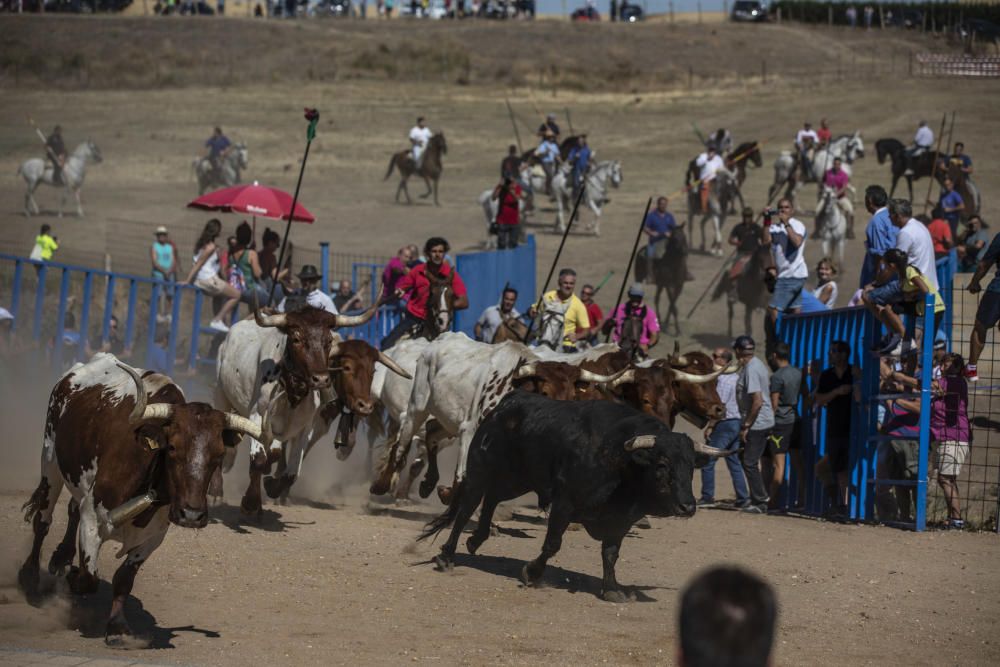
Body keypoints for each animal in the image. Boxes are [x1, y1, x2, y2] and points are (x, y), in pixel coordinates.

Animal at [19, 354, 266, 648]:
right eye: (172, 447)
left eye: (218, 454)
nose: (192, 515)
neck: (149, 472)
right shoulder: (93, 518)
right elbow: (90, 577)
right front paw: (73, 580)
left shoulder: (153, 537)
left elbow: (123, 579)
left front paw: (117, 627)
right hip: (50, 462)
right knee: (43, 520)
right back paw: (30, 577)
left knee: (71, 509)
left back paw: (60, 558)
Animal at [215, 304, 410, 516]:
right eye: (346, 367)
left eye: (372, 371)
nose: (365, 406)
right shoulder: (259, 416)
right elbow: (261, 458)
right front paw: (252, 503)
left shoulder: (310, 427)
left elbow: (291, 467)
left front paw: (276, 487)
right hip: (221, 397)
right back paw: (217, 490)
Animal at [420, 392, 728, 604]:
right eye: (662, 464)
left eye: (691, 466)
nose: (688, 506)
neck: (622, 463)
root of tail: (505, 404)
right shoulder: (564, 504)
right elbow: (553, 543)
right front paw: (532, 572)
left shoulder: (620, 521)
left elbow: (611, 554)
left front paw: (612, 589)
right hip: (480, 469)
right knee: (466, 508)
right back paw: (447, 555)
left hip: (517, 480)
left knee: (493, 498)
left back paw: (476, 539)